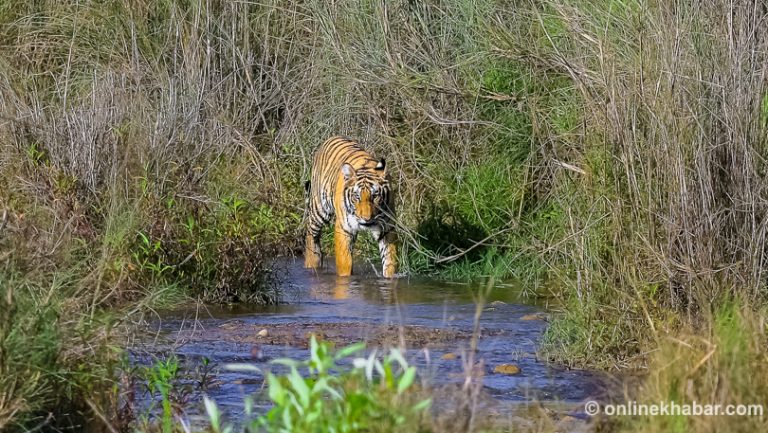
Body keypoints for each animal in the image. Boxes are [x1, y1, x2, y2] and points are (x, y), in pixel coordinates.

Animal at [302, 135, 396, 276]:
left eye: (375, 196)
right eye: (356, 197)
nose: (366, 219)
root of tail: (332, 137)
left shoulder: (387, 228)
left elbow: (390, 261)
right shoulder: (344, 229)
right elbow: (345, 262)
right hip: (319, 209)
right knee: (311, 233)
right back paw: (312, 262)